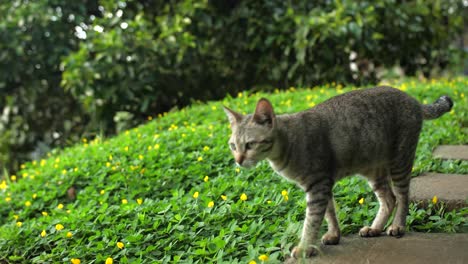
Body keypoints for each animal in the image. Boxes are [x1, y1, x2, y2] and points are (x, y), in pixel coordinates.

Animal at [223, 86, 454, 258]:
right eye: (233, 146)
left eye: (250, 144)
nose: (238, 161)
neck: (288, 142)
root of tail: (413, 99)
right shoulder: (322, 184)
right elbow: (329, 213)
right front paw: (334, 235)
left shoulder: (318, 185)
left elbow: (312, 221)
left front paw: (305, 247)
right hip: (374, 170)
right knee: (389, 199)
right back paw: (374, 228)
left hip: (400, 160)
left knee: (402, 196)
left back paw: (397, 226)